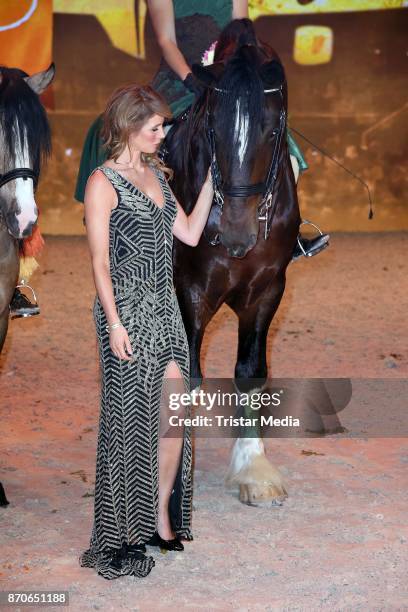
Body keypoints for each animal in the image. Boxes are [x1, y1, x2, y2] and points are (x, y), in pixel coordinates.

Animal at [164, 27, 302, 502]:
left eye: (273, 128)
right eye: (212, 126)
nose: (238, 236)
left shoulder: (267, 289)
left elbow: (251, 374)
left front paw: (253, 469)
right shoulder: (189, 288)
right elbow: (187, 373)